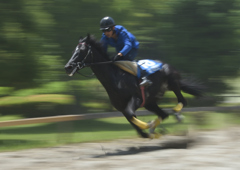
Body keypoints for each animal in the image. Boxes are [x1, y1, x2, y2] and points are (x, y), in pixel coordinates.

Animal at [64, 34, 203, 138]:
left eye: (81, 51)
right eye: (73, 51)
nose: (68, 67)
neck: (116, 78)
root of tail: (166, 64)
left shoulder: (137, 99)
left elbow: (131, 114)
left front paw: (149, 127)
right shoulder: (122, 107)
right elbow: (133, 120)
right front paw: (150, 131)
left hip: (172, 82)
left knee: (182, 101)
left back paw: (176, 114)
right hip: (150, 103)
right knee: (164, 114)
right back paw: (157, 127)